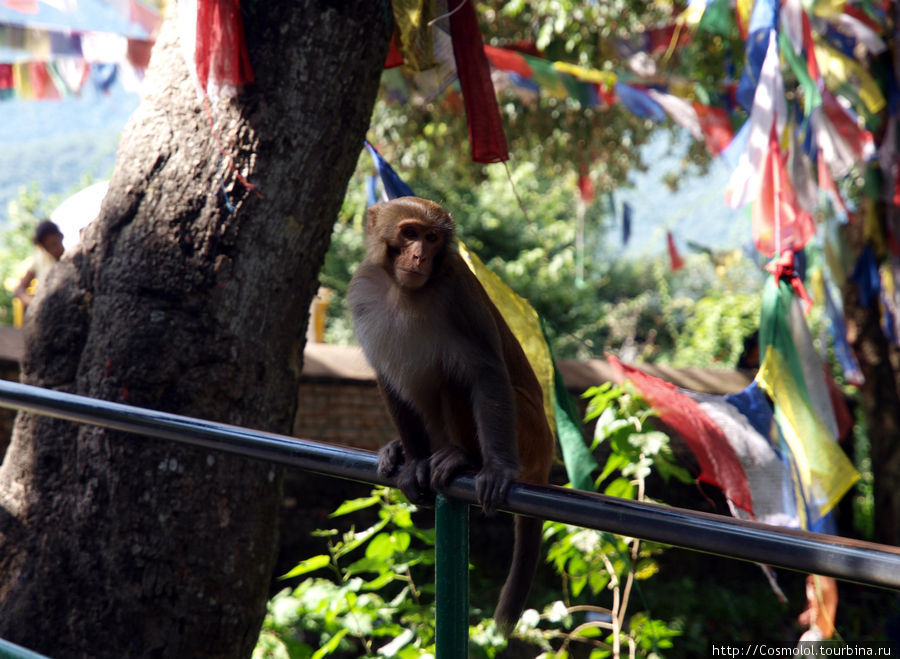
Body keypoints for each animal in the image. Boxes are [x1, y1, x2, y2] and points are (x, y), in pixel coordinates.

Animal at [346, 197, 552, 636]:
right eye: (409, 233)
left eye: (432, 238)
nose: (419, 256)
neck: (402, 291)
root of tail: (545, 448)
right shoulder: (362, 290)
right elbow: (387, 376)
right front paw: (413, 461)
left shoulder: (458, 292)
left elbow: (486, 371)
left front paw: (495, 468)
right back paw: (405, 451)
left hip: (525, 429)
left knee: (456, 377)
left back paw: (466, 458)